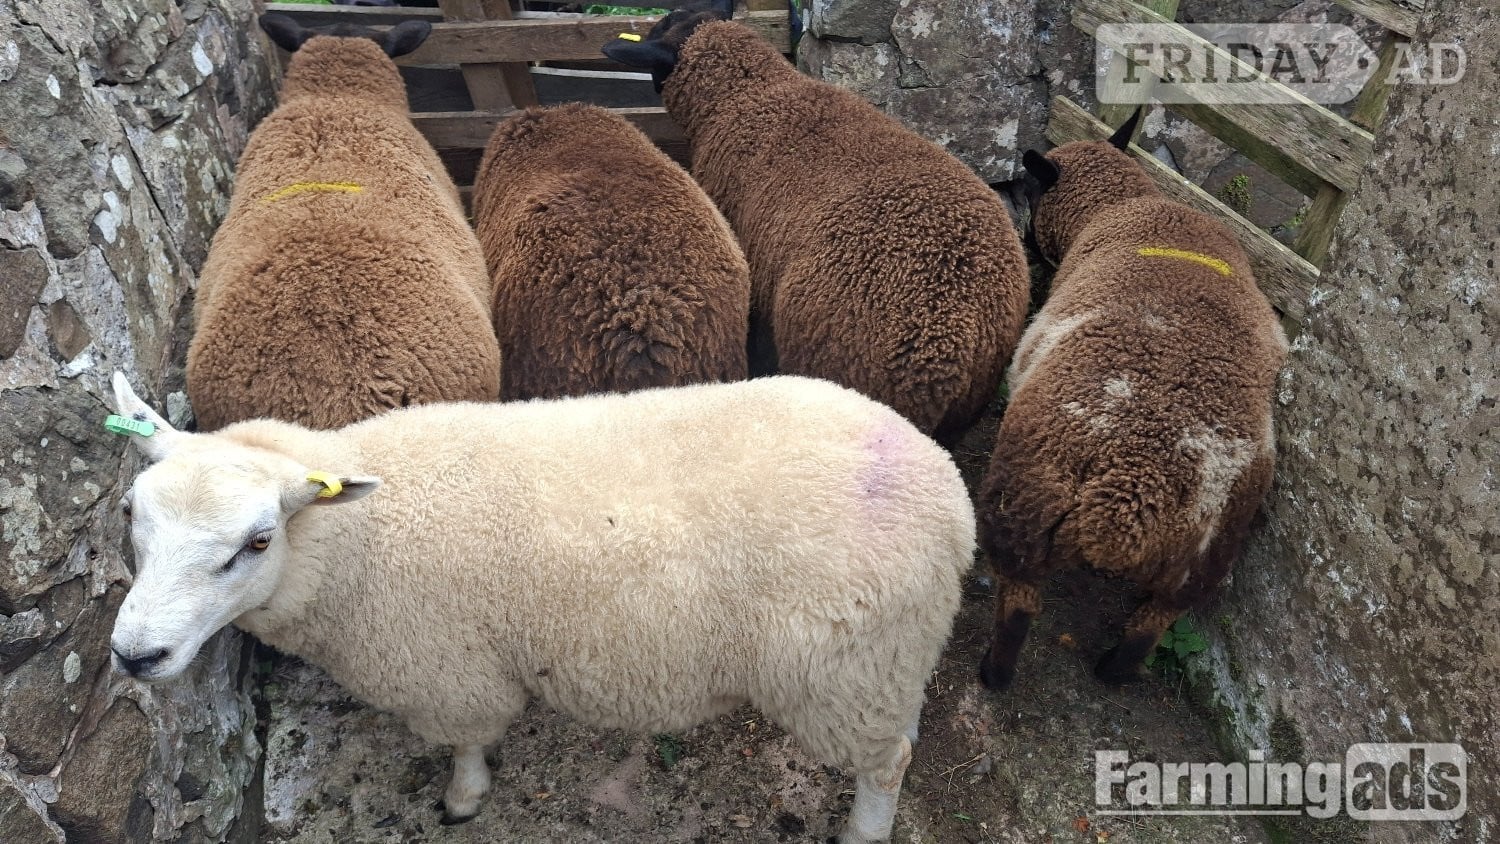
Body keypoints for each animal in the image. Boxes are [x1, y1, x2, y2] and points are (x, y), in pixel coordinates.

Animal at [105, 371, 973, 844]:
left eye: (255, 543)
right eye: (129, 514)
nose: (135, 654)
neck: (364, 536)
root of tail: (948, 492)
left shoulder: (446, 670)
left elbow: (466, 742)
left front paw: (464, 798)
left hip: (839, 673)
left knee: (886, 764)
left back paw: (864, 828)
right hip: (887, 658)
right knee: (899, 731)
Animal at [975, 110, 1288, 689]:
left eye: (1030, 184)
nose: (1005, 194)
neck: (1117, 205)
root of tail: (1128, 497)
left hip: (1023, 503)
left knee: (1020, 604)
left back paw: (994, 674)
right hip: (1205, 561)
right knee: (1152, 623)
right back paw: (1112, 670)